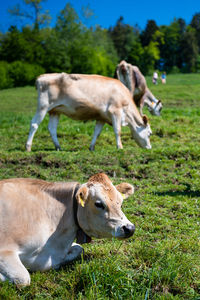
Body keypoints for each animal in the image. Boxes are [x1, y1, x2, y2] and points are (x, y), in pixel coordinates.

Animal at [0, 173, 135, 286]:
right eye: (98, 204)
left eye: (120, 202)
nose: (130, 228)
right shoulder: (5, 249)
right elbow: (22, 278)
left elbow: (79, 248)